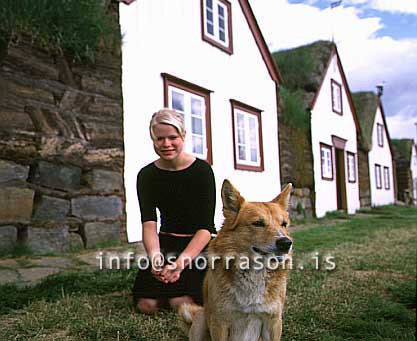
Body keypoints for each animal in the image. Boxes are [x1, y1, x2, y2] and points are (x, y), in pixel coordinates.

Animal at [179, 179, 292, 338]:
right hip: (201, 319)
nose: (286, 243)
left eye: (284, 224)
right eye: (258, 223)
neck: (254, 272)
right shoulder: (219, 323)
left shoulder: (273, 322)